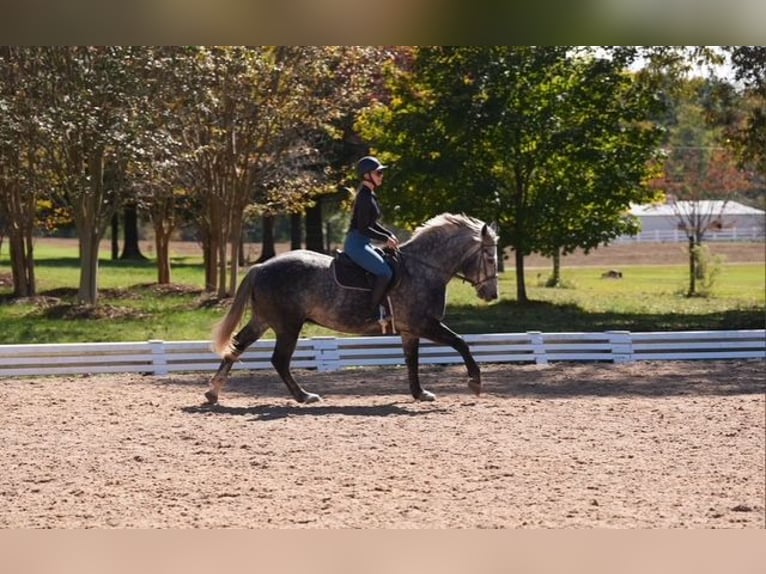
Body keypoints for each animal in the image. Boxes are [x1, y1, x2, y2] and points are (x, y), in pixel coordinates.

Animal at [205, 212, 499, 404]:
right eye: (489, 257)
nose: (492, 294)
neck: (424, 268)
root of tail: (261, 267)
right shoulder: (424, 324)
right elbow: (461, 343)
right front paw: (475, 382)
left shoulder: (410, 330)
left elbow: (412, 361)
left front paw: (420, 393)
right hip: (288, 326)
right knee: (279, 360)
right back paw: (304, 396)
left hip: (264, 320)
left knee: (237, 345)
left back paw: (213, 392)